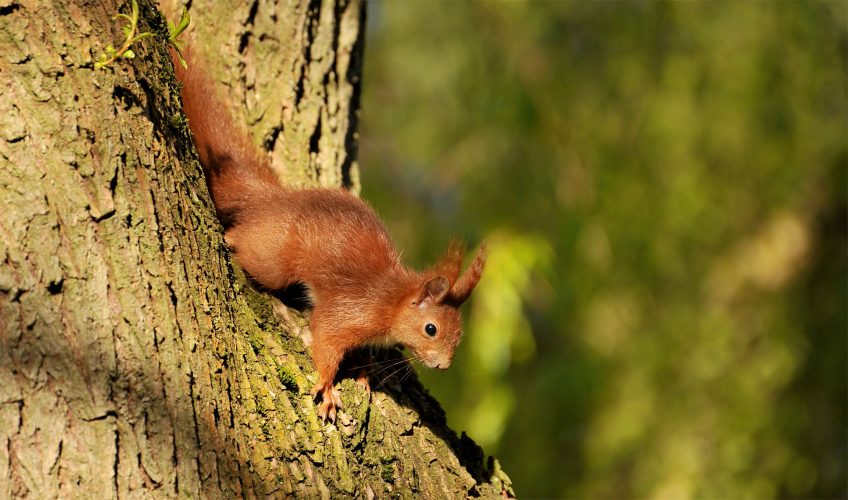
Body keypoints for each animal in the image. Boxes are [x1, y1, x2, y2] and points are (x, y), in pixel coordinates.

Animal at [172, 48, 486, 422]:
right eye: (431, 329)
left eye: (459, 334)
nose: (442, 365)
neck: (391, 303)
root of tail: (271, 200)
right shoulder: (351, 311)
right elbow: (325, 337)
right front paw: (327, 384)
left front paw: (363, 372)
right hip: (273, 259)